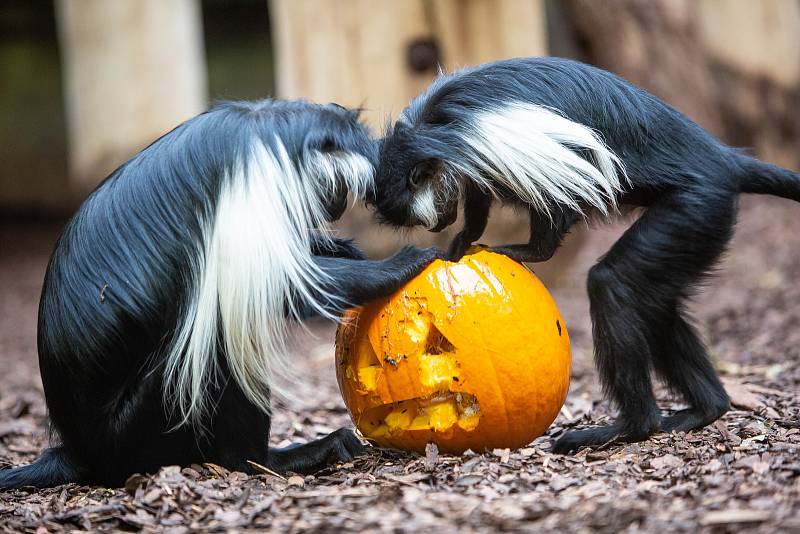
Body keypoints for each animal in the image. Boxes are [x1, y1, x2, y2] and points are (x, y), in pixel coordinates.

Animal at [0, 98, 444, 492]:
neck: (276, 136)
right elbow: (280, 289)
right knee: (214, 348)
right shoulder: (253, 185)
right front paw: (401, 263)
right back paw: (273, 459)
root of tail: (82, 450)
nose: (333, 210)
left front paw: (344, 249)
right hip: (143, 422)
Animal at [372, 56, 800, 454]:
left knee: (614, 285)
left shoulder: (490, 141)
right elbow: (480, 190)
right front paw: (463, 240)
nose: (436, 226)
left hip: (695, 206)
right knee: (655, 304)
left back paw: (631, 426)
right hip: (697, 228)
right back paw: (706, 408)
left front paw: (518, 249)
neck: (432, 130)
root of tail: (724, 160)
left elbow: (559, 192)